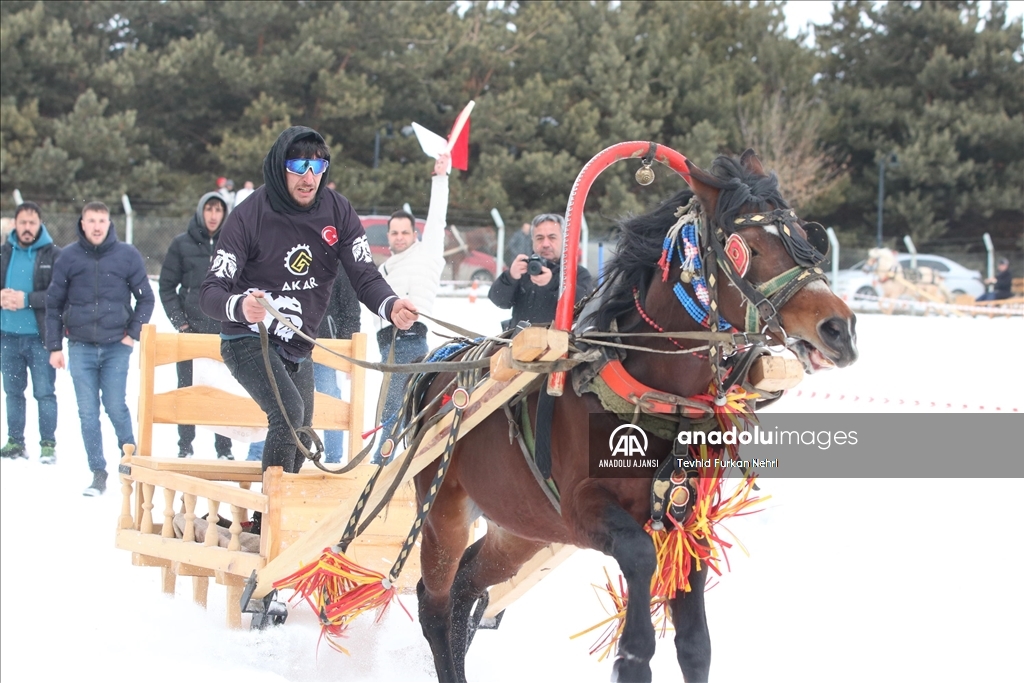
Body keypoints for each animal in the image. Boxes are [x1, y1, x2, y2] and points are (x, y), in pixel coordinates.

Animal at [407, 150, 856, 683]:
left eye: (808, 238)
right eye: (748, 248)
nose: (839, 328)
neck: (651, 393)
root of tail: (442, 368)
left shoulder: (689, 518)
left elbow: (696, 644)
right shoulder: (582, 509)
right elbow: (641, 565)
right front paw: (632, 654)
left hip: (522, 524)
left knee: (467, 587)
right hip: (444, 512)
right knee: (435, 605)